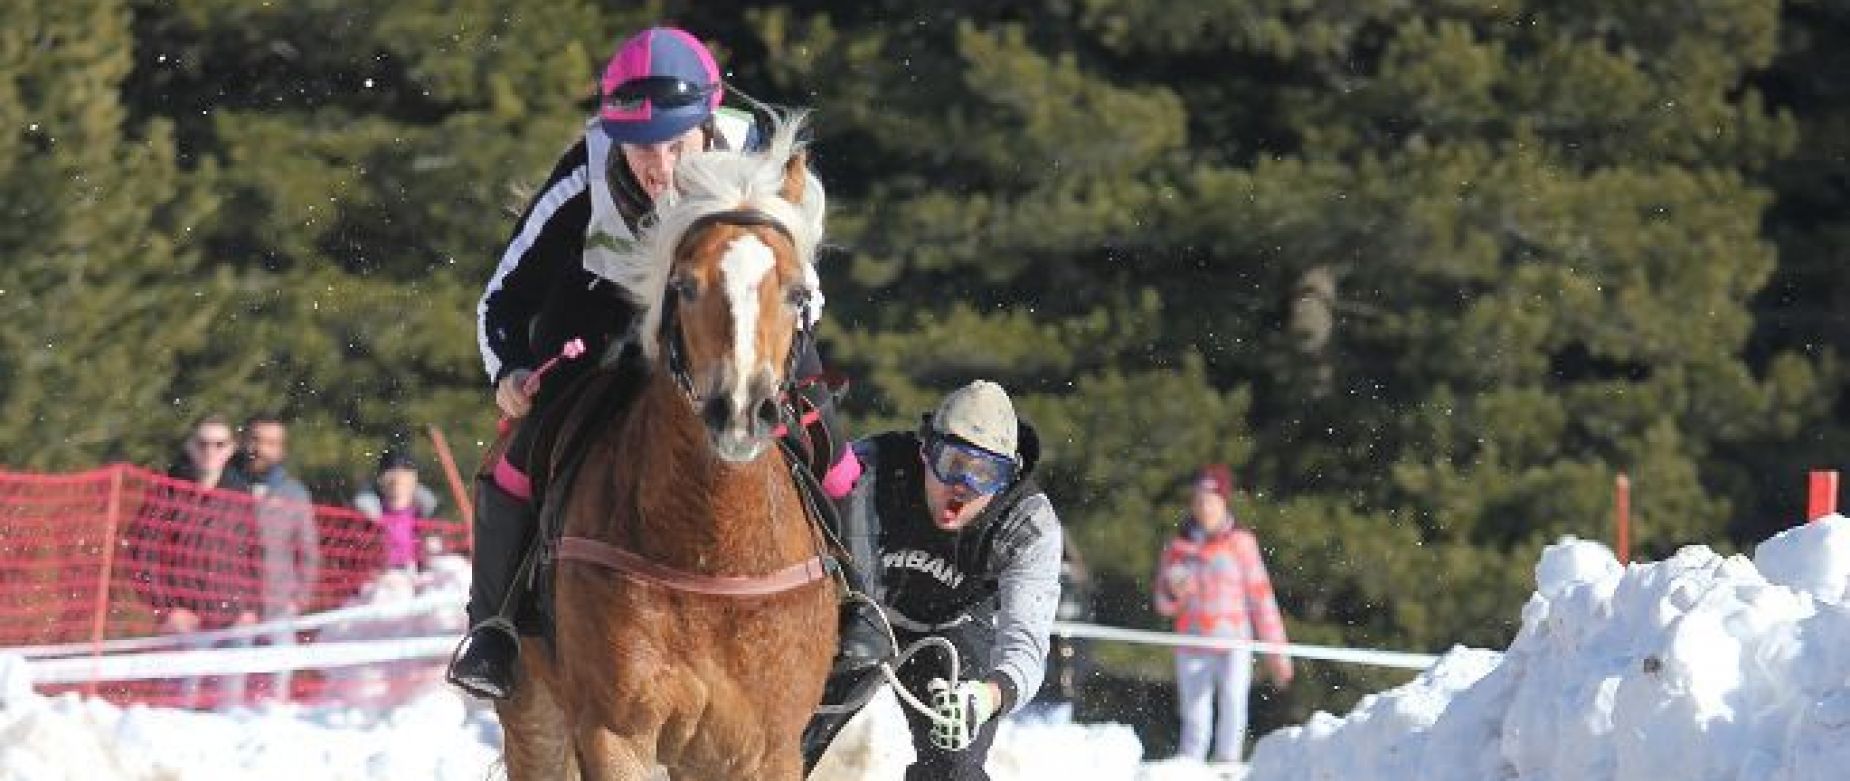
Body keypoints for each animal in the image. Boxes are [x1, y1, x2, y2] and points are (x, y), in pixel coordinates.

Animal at [492, 111, 839, 781]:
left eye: (796, 292)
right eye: (685, 285)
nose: (741, 410)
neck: (710, 550)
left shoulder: (769, 747)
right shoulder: (615, 735)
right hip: (535, 720)